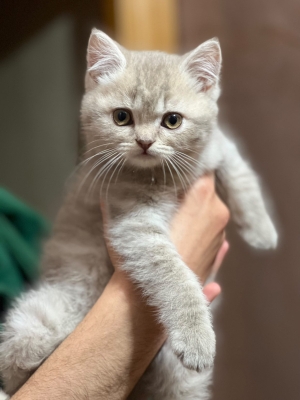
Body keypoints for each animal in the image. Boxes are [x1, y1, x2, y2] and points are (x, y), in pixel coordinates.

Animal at [0, 29, 278, 398]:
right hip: (39, 319)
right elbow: (173, 275)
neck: (162, 175)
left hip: (180, 382)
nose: (144, 142)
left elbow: (241, 173)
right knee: (18, 357)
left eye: (172, 120)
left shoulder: (216, 147)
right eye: (122, 117)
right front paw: (197, 337)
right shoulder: (133, 225)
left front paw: (262, 230)